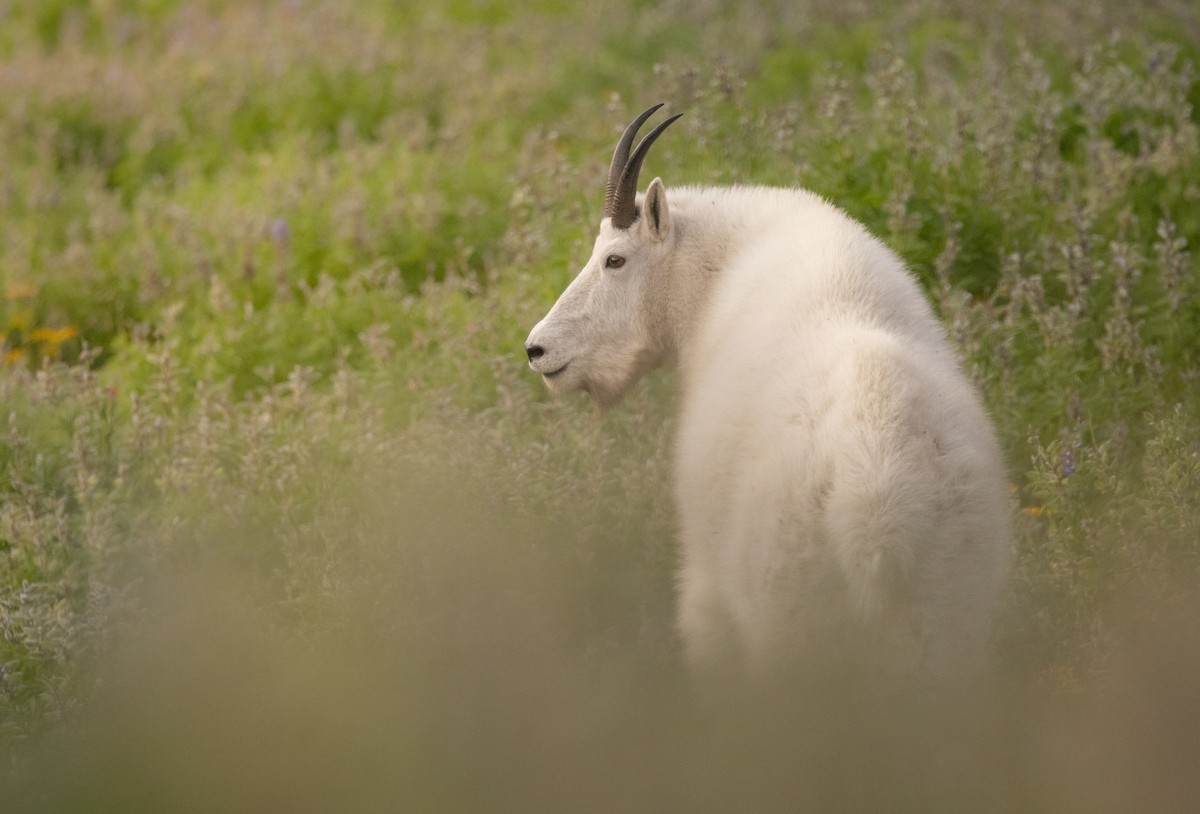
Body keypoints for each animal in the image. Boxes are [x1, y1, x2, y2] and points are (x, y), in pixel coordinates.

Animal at [525, 104, 1010, 682]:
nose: (537, 349)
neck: (716, 276)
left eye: (614, 259)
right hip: (949, 618)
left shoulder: (708, 579)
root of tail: (879, 494)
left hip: (786, 613)